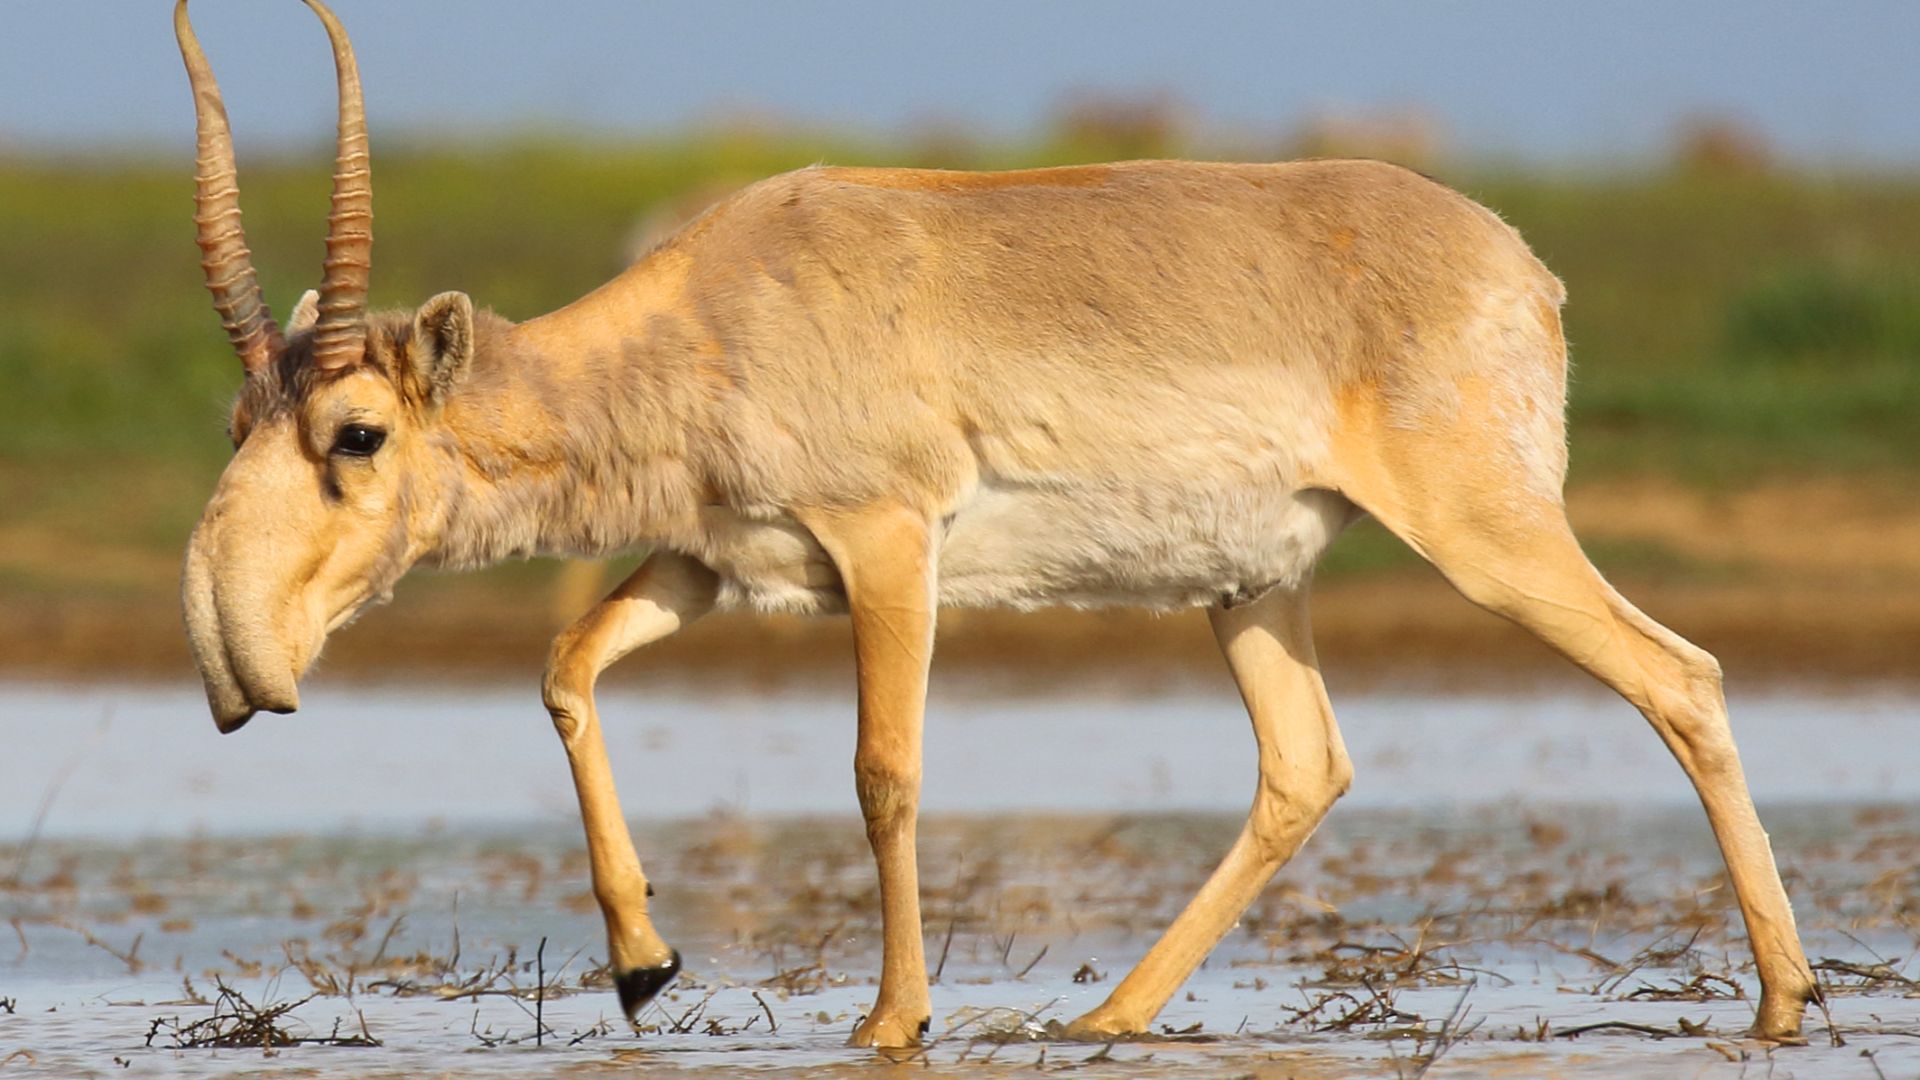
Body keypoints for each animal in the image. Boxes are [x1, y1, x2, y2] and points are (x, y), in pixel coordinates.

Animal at [174, 0, 1818, 1049]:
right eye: (239, 420)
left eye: (356, 433)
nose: (232, 658)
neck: (717, 305)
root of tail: (1518, 265)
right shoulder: (715, 564)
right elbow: (566, 667)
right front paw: (644, 967)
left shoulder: (887, 547)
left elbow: (884, 773)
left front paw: (891, 1017)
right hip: (1250, 588)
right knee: (1305, 766)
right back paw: (1108, 1015)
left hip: (1487, 538)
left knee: (1680, 677)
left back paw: (1785, 1000)